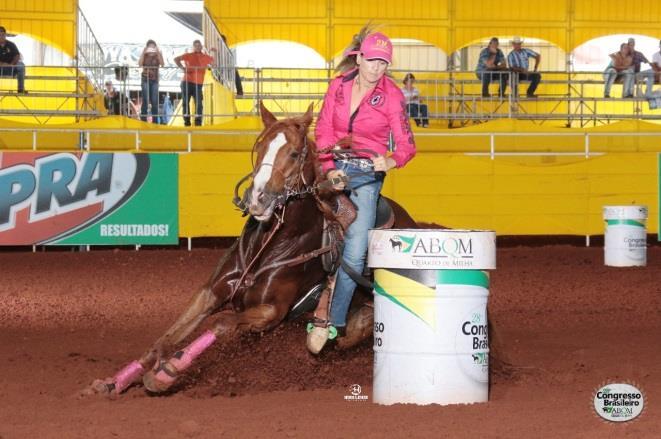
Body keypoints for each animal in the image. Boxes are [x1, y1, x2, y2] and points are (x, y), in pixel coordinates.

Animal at [85, 104, 416, 398]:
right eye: (260, 147)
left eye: (293, 153)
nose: (258, 198)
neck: (270, 243)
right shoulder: (211, 292)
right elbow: (166, 338)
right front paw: (114, 381)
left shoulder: (270, 313)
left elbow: (221, 323)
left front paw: (167, 373)